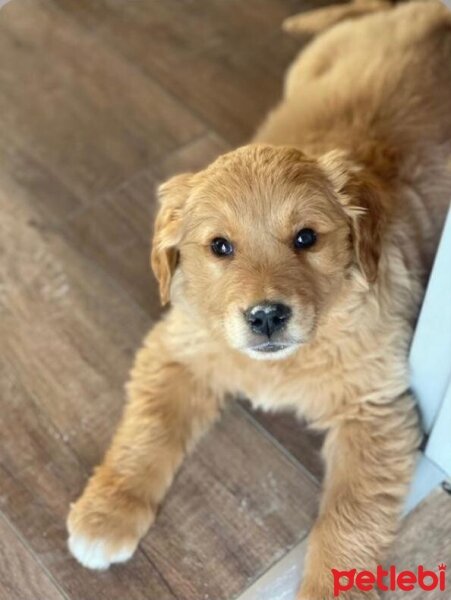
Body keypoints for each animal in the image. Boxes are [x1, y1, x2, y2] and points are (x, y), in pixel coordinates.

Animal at [67, 2, 451, 596]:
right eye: (220, 247)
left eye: (307, 238)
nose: (267, 316)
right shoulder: (177, 348)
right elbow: (148, 430)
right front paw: (106, 515)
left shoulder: (376, 411)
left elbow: (347, 520)